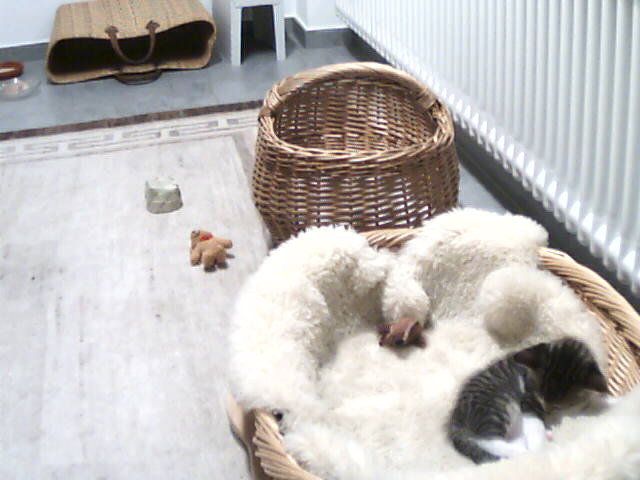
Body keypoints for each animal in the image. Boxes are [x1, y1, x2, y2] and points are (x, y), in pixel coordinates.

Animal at [447, 337, 609, 464]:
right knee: (485, 440)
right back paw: (524, 452)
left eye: (557, 405)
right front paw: (539, 448)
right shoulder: (527, 398)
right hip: (497, 403)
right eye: (538, 399)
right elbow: (535, 421)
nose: (547, 411)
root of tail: (455, 419)